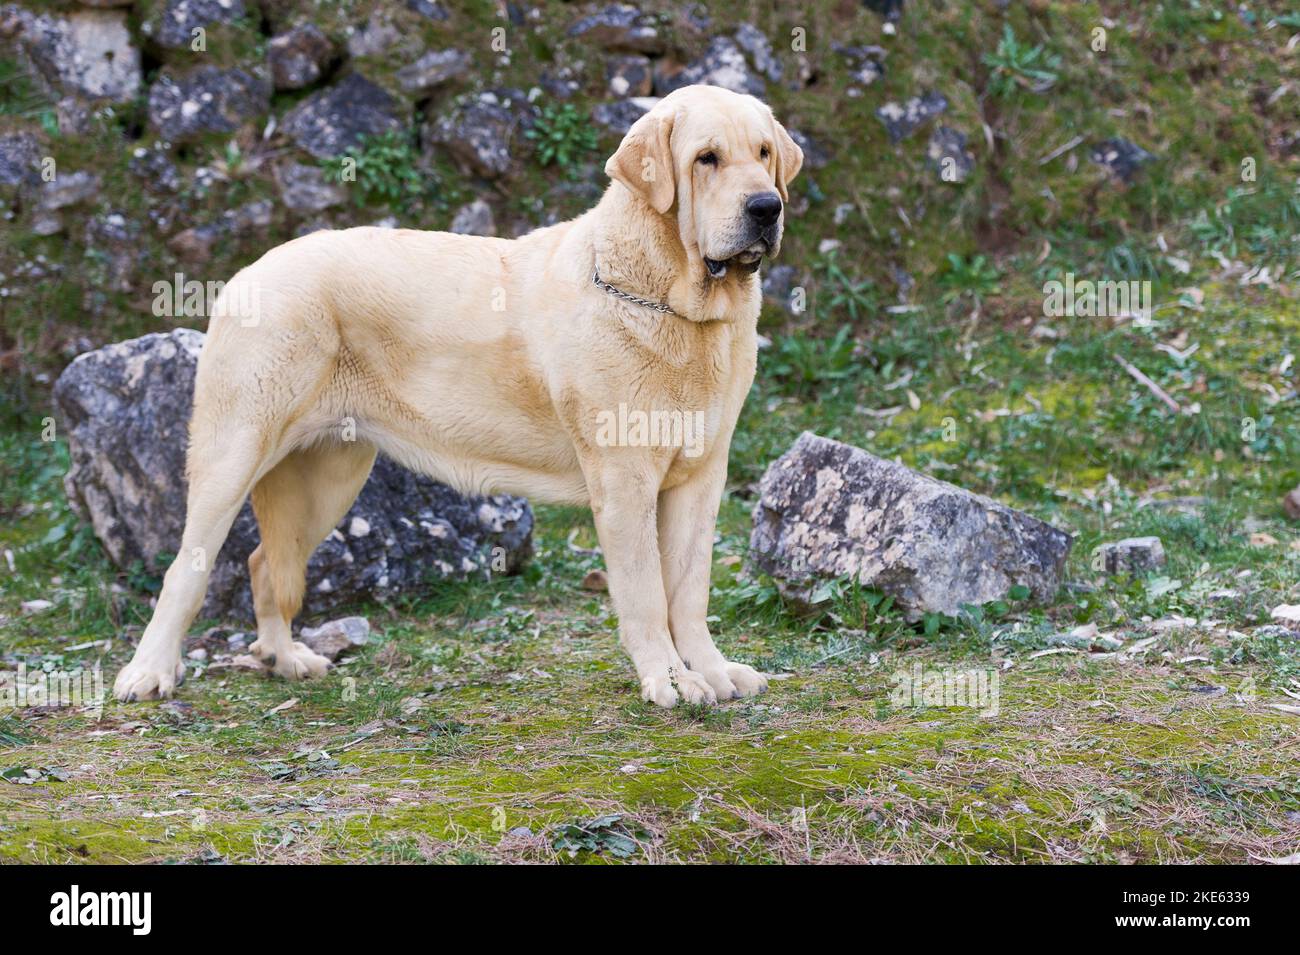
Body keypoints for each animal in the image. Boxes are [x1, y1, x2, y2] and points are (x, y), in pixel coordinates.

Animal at [111, 83, 800, 712]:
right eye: (706, 158)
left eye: (764, 153)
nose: (766, 206)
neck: (674, 305)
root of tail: (251, 270)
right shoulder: (624, 479)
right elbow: (647, 594)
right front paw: (669, 681)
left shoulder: (701, 475)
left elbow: (689, 589)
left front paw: (712, 671)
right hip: (234, 454)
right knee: (187, 568)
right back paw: (149, 672)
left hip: (327, 477)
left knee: (266, 563)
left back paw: (285, 658)